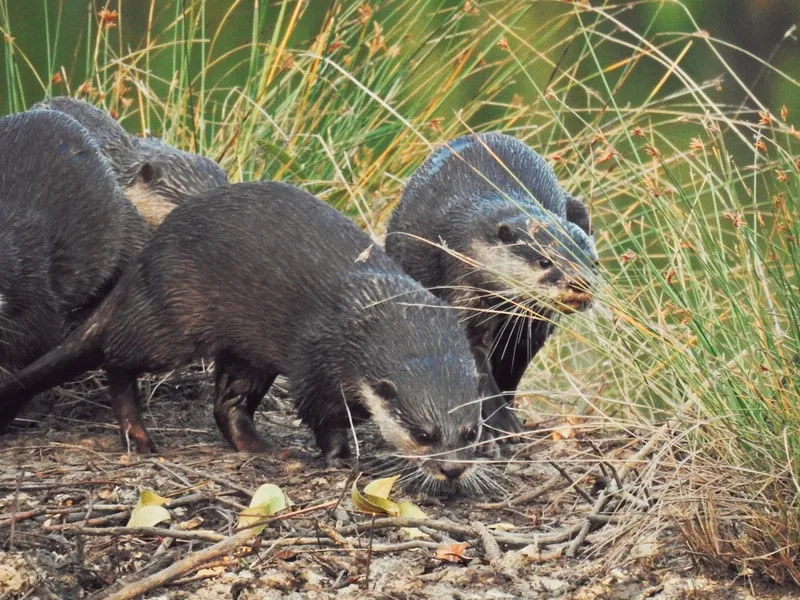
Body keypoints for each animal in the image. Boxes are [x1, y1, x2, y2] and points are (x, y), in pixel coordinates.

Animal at [0, 182, 488, 486]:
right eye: (423, 434)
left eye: (470, 433)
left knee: (227, 405)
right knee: (115, 358)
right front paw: (340, 457)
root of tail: (146, 258)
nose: (452, 470)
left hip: (246, 351)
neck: (382, 310)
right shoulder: (318, 358)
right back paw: (138, 436)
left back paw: (263, 449)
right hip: (171, 321)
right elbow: (321, 412)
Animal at [385, 132, 597, 439]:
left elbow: (511, 365)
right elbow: (476, 365)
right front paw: (502, 424)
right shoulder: (463, 295)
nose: (580, 282)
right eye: (545, 261)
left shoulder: (530, 328)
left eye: (593, 262)